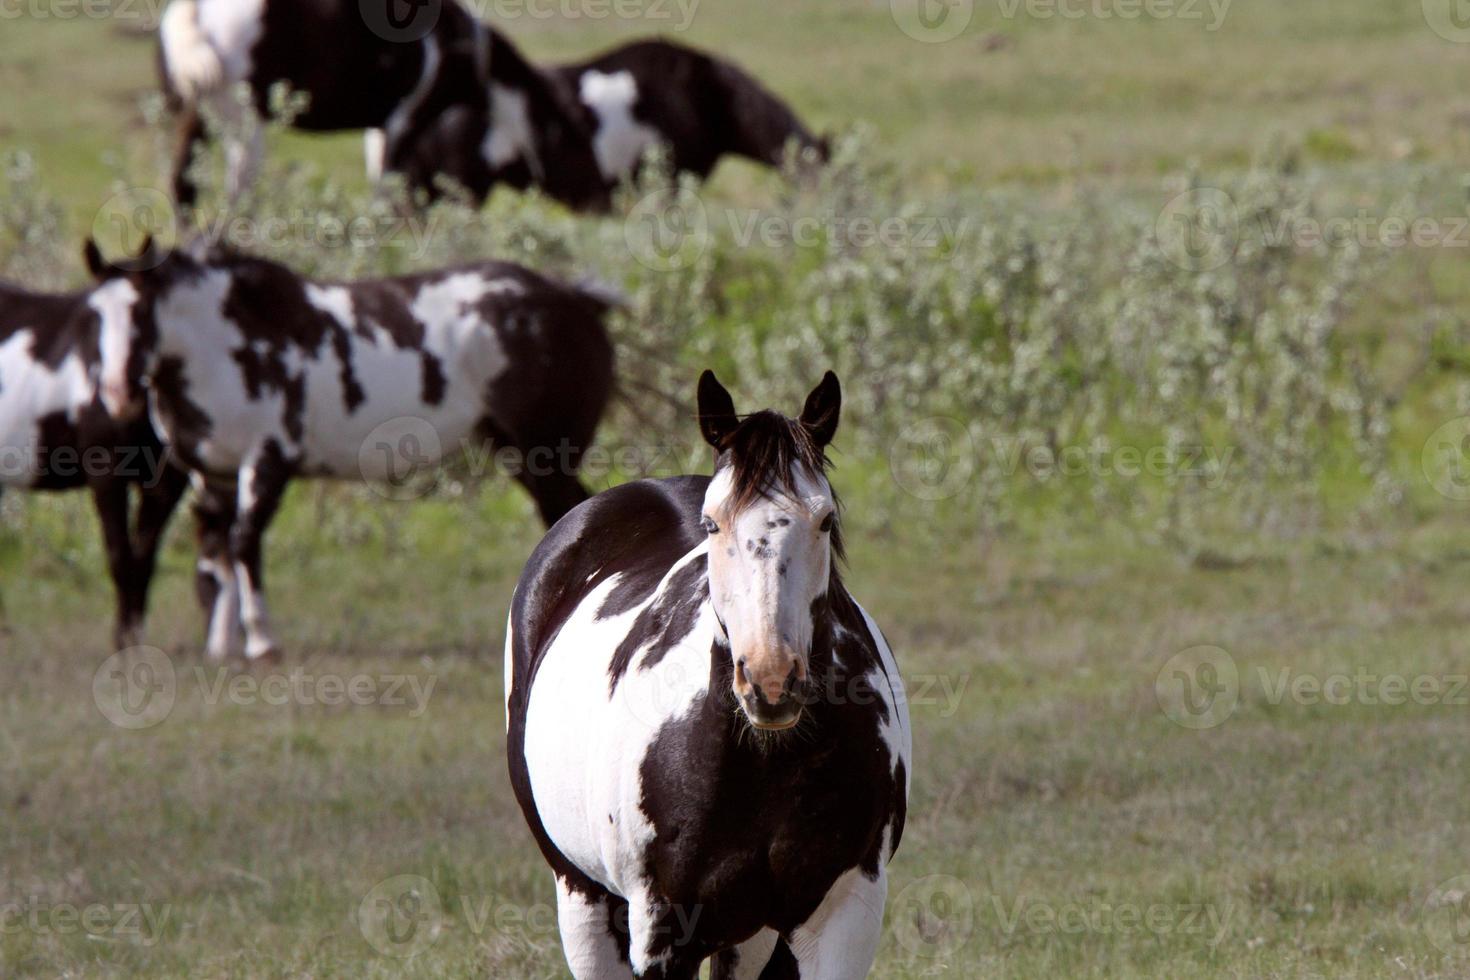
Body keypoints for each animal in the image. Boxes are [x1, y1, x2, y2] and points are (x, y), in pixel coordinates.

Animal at [0, 258, 189, 652]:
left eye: (146, 313)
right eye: (93, 318)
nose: (119, 392)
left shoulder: (166, 483)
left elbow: (144, 556)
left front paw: (133, 638)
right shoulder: (107, 475)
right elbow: (119, 554)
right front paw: (123, 642)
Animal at [87, 240, 614, 664]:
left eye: (141, 312)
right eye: (95, 315)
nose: (115, 393)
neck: (229, 345)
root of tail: (573, 299)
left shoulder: (267, 462)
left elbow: (243, 543)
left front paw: (261, 642)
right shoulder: (212, 474)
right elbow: (216, 551)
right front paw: (221, 645)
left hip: (545, 454)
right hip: (519, 454)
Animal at [160, 0, 614, 211]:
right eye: (578, 142)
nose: (605, 203)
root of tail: (195, 13)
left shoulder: (379, 129)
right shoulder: (403, 121)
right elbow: (391, 195)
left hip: (192, 119)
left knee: (183, 188)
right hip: (244, 126)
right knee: (237, 193)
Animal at [511, 371, 911, 975]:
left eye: (825, 520)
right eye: (712, 523)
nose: (771, 680)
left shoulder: (845, 914)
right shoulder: (662, 929)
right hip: (582, 897)